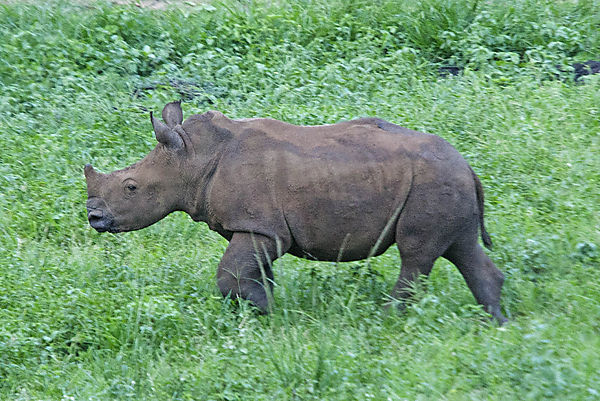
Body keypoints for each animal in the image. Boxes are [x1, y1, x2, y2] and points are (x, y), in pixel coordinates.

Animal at [83, 101, 506, 324]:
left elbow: (228, 274)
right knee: (461, 248)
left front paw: (265, 312)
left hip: (432, 182)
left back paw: (385, 321)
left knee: (416, 255)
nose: (93, 218)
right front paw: (261, 311)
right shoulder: (256, 228)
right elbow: (254, 274)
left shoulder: (261, 228)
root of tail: (469, 166)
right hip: (445, 182)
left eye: (131, 188)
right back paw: (496, 323)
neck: (192, 157)